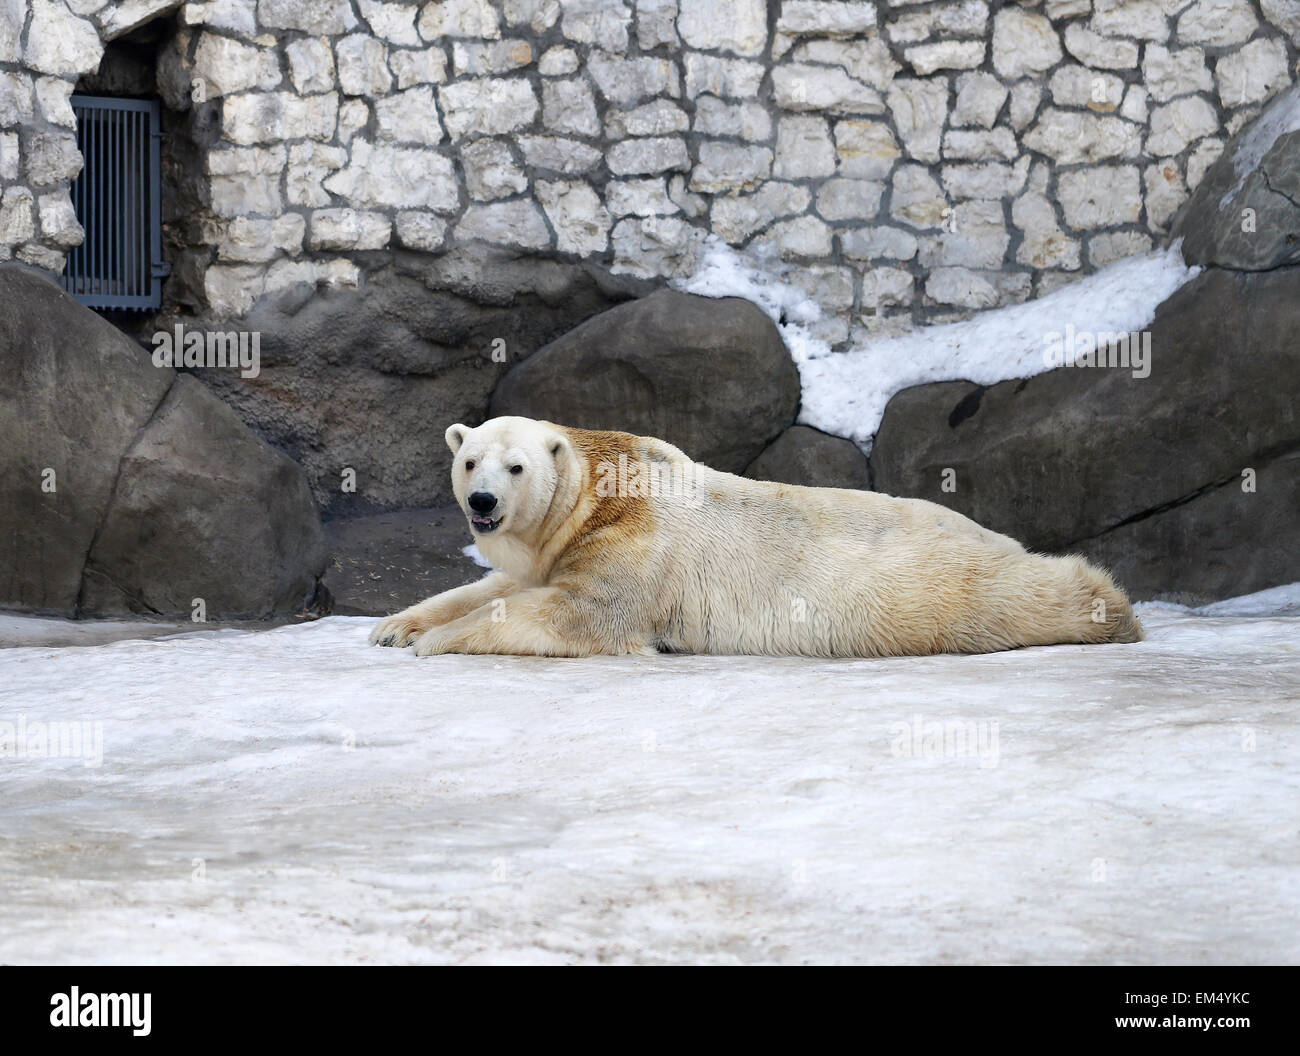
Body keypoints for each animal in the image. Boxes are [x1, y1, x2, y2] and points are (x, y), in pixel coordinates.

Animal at [371, 416, 1144, 655]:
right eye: (469, 459)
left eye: (517, 466)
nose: (483, 502)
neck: (607, 487)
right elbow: (501, 582)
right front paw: (396, 626)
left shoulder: (638, 543)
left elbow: (580, 613)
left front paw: (440, 640)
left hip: (928, 584)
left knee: (1012, 595)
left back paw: (1107, 605)